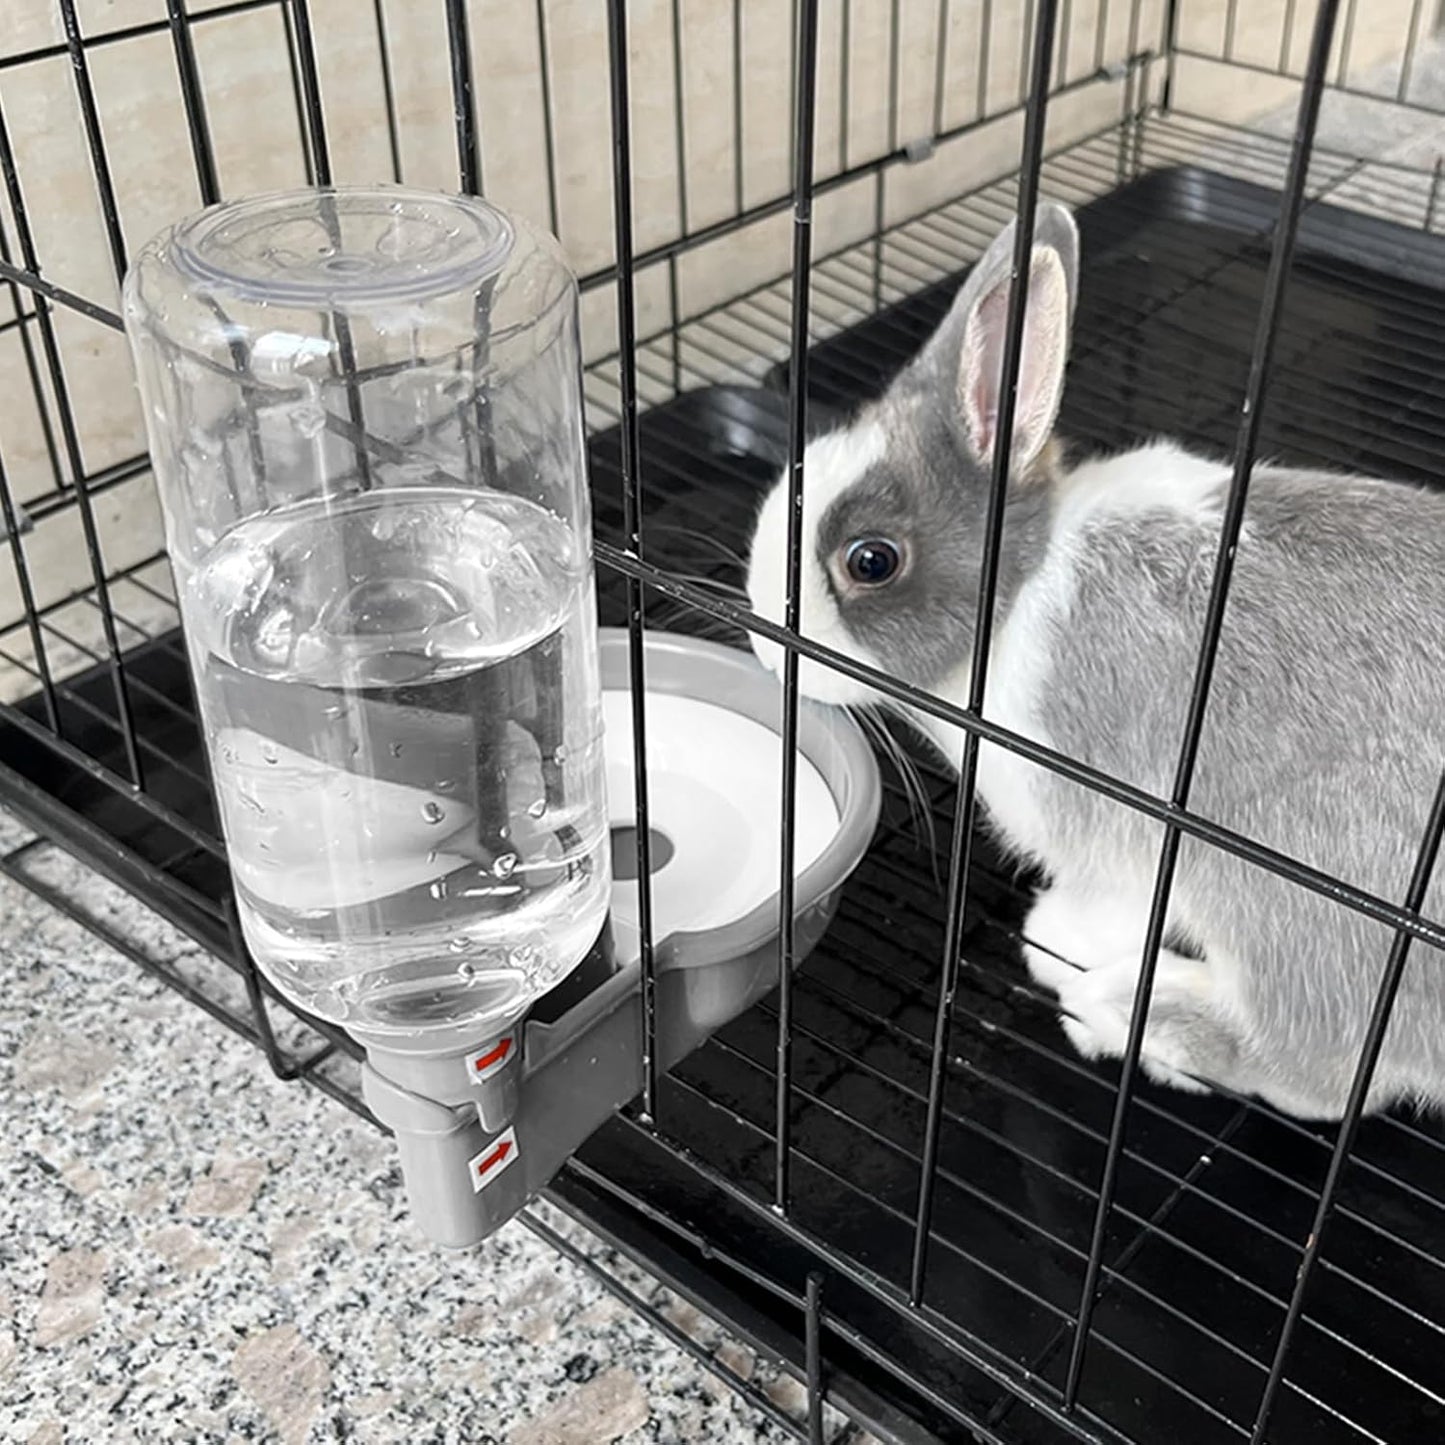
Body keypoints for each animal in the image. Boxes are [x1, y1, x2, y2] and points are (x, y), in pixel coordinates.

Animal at [745, 199, 1445, 1122]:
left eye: (870, 561)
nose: (762, 635)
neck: (1016, 592)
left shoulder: (1117, 831)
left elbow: (1108, 902)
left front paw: (1053, 940)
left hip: (1293, 894)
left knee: (1315, 1070)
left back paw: (1125, 1012)